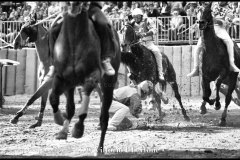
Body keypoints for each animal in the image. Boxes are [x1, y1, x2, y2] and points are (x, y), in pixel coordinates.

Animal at [50, 7, 121, 154]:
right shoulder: (62, 77)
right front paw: (60, 122)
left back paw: (99, 149)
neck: (74, 37)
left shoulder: (94, 75)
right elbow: (55, 99)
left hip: (108, 83)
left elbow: (86, 93)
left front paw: (78, 127)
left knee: (104, 117)